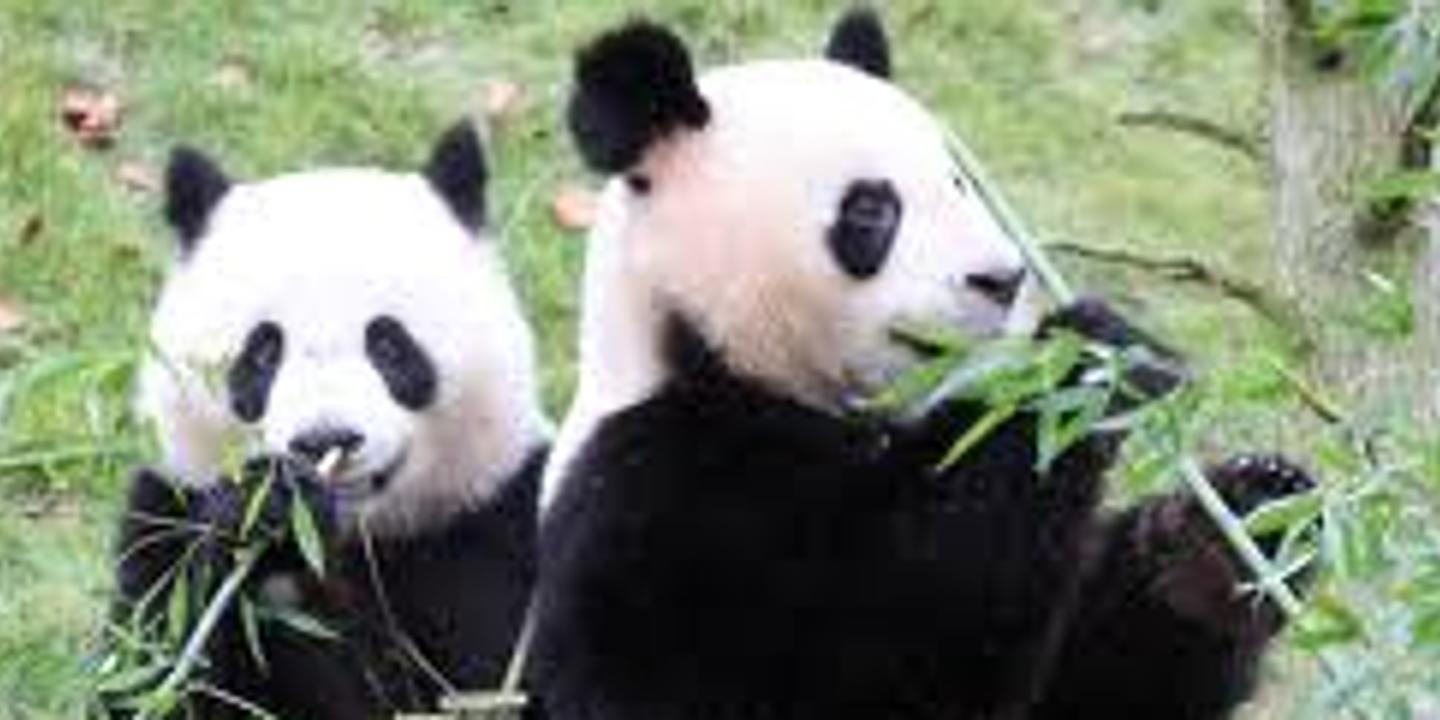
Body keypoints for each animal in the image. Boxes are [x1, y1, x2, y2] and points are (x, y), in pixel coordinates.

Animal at [108, 121, 549, 718]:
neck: (350, 537)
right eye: (263, 352)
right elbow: (158, 670)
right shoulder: (164, 513)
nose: (326, 440)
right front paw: (264, 505)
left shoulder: (502, 516)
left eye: (388, 344)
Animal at [531, 11, 1312, 720]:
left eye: (960, 181)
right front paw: (1079, 361)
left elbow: (1088, 688)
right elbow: (883, 649)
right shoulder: (662, 502)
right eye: (872, 210)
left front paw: (1240, 530)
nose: (1002, 278)